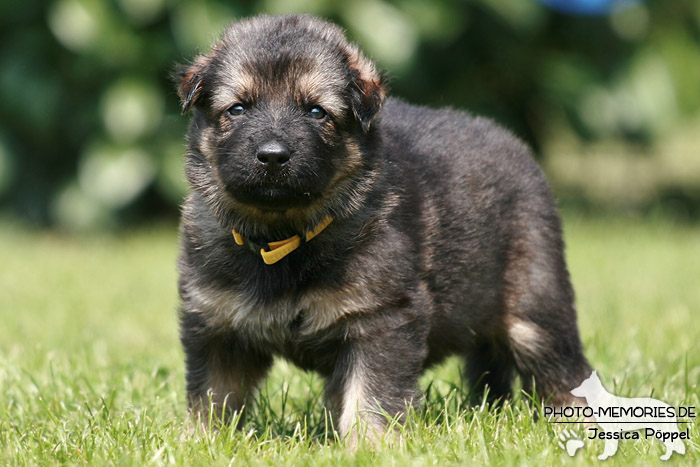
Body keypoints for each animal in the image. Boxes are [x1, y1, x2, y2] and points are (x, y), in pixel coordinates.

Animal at [174, 11, 592, 442]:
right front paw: (200, 441)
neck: (283, 235)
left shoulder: (382, 317)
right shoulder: (215, 323)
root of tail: (516, 145)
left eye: (316, 112)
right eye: (238, 109)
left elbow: (371, 394)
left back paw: (577, 422)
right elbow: (212, 394)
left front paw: (371, 445)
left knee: (562, 367)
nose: (272, 156)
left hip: (535, 304)